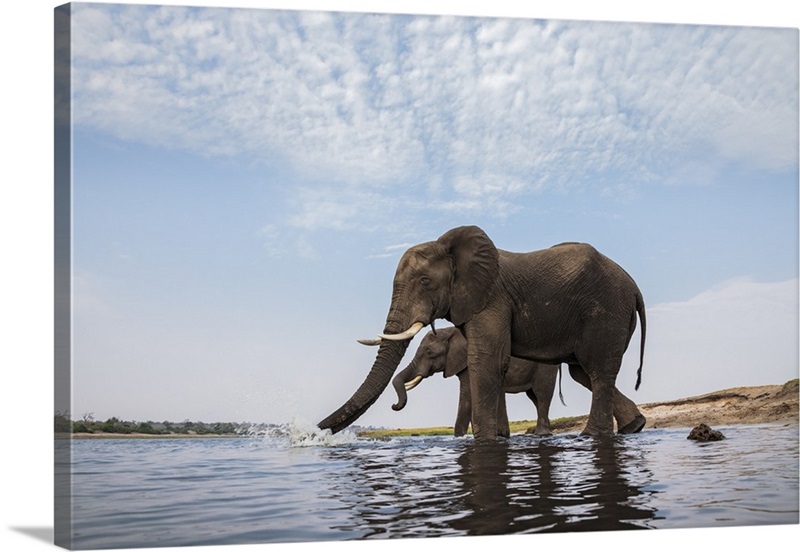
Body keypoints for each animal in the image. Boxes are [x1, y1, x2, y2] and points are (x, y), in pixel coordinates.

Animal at [394, 328, 564, 436]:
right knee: (534, 398)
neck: (449, 331)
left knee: (542, 395)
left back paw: (541, 434)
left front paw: (460, 437)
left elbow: (467, 396)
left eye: (429, 352)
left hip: (545, 368)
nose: (394, 405)